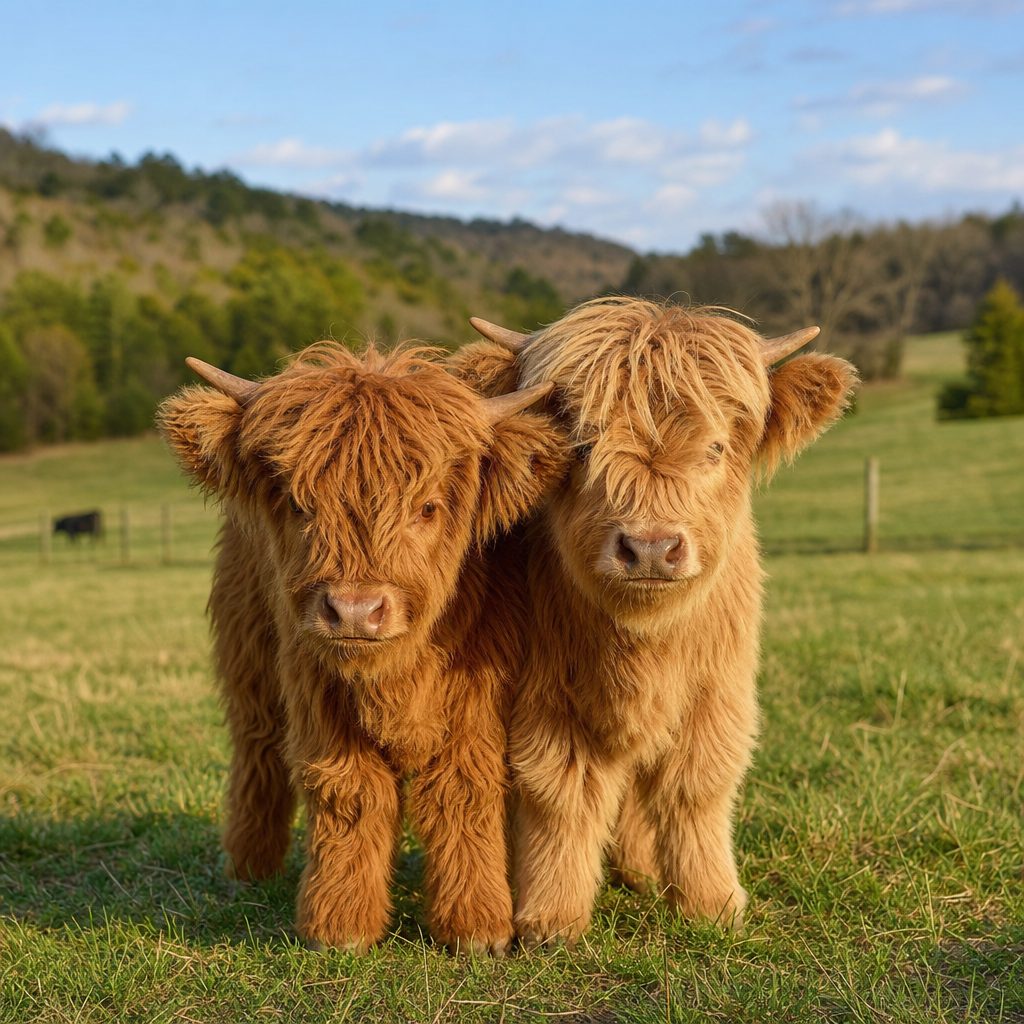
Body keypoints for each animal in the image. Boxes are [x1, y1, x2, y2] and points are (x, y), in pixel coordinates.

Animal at [156, 342, 567, 953]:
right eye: (298, 504)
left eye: (427, 507)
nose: (354, 610)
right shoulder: (318, 690)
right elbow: (351, 793)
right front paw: (341, 925)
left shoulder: (477, 698)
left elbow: (463, 792)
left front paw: (476, 926)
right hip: (248, 652)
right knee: (257, 749)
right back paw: (249, 868)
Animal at [453, 296, 857, 947]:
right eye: (582, 448)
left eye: (716, 448)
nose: (649, 548)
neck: (644, 641)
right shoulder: (545, 697)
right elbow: (560, 793)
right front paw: (552, 917)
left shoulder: (717, 692)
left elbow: (697, 786)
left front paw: (711, 902)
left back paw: (641, 872)